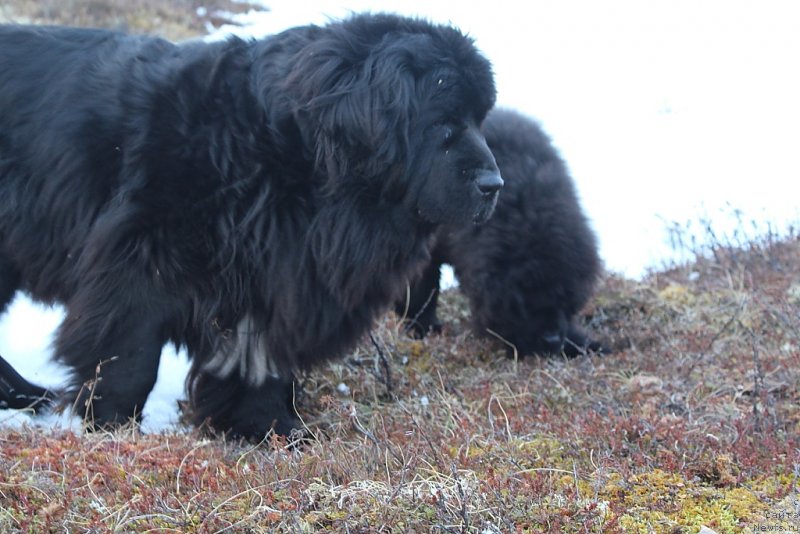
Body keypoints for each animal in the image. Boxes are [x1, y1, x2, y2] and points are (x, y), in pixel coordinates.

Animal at [0, 14, 500, 442]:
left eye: (480, 121)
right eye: (444, 124)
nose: (494, 185)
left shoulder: (274, 274)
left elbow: (258, 362)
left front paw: (272, 429)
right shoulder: (138, 257)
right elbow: (129, 355)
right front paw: (113, 428)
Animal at [396, 108, 604, 358]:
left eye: (566, 297)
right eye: (524, 300)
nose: (551, 338)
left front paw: (584, 343)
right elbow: (422, 288)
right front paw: (421, 327)